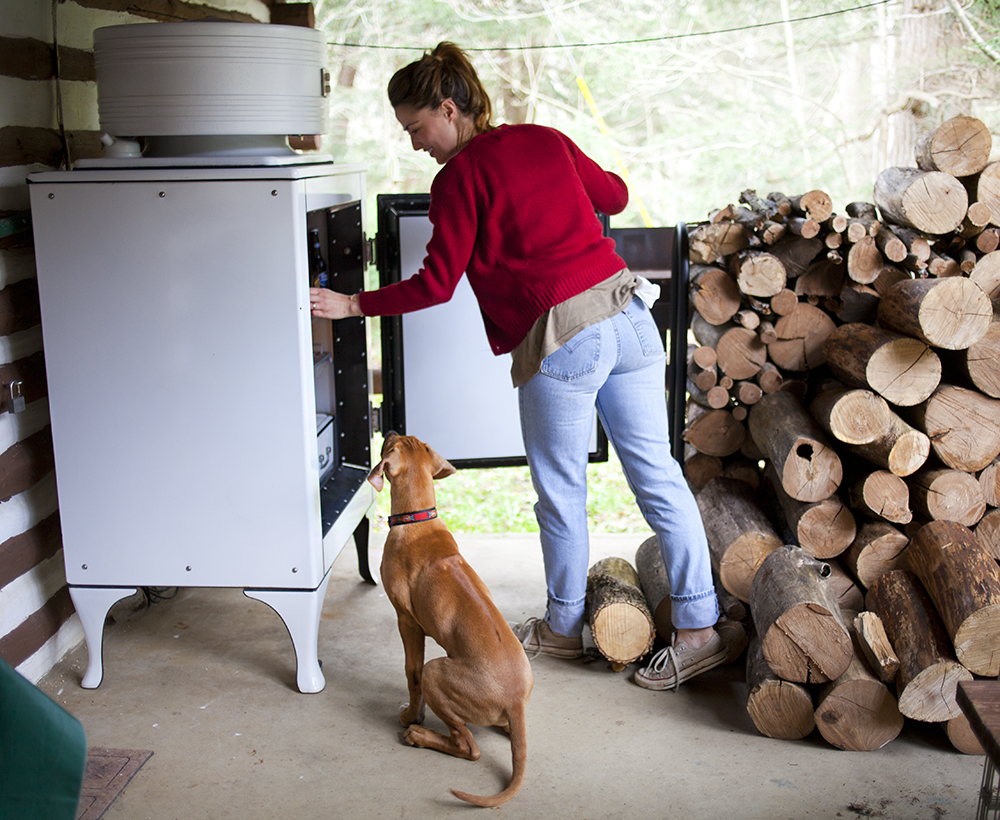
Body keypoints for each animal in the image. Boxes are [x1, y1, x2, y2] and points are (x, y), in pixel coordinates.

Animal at [368, 436, 536, 808]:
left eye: (391, 441)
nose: (390, 428)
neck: (416, 520)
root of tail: (515, 702)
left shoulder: (407, 622)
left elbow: (411, 673)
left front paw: (411, 714)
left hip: (437, 672)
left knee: (468, 747)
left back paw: (419, 735)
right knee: (501, 730)